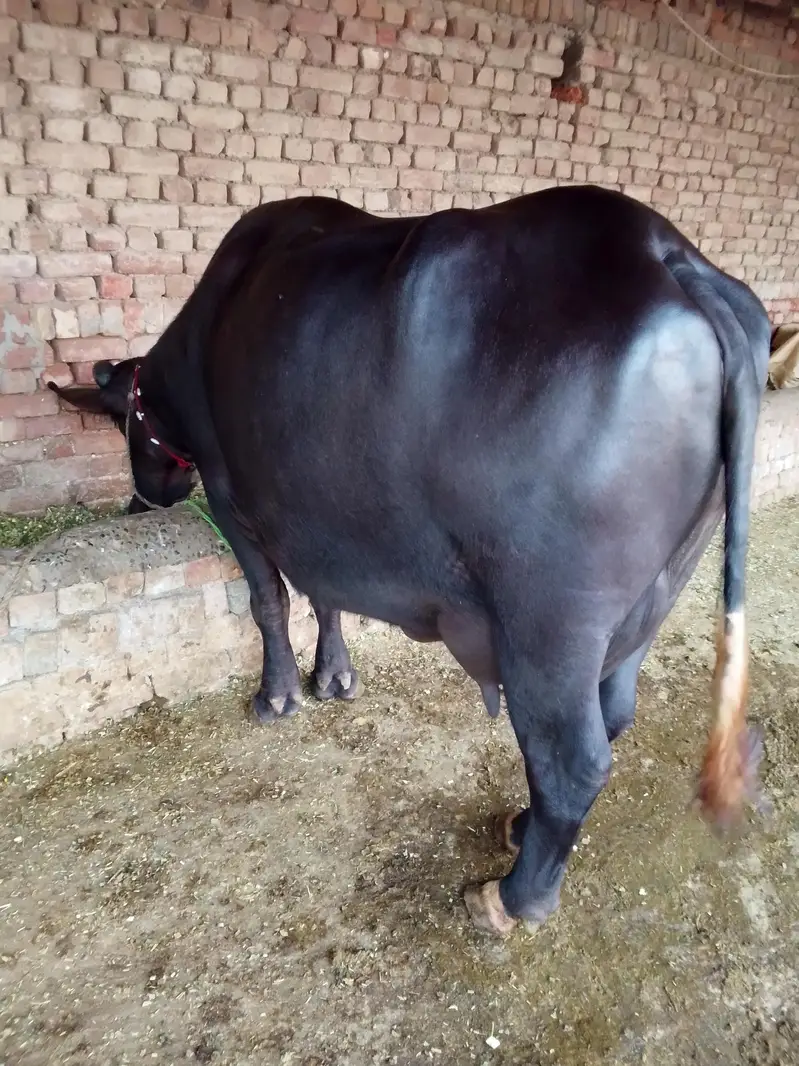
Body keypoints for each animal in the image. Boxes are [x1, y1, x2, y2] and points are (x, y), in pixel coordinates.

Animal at [50, 185, 770, 938]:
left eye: (120, 422)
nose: (142, 499)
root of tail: (669, 258)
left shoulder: (230, 494)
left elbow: (269, 599)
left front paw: (277, 693)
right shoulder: (318, 519)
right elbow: (324, 595)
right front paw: (333, 676)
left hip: (551, 623)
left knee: (574, 757)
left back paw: (512, 897)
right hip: (651, 600)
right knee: (612, 713)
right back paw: (521, 825)